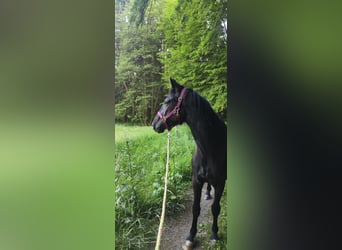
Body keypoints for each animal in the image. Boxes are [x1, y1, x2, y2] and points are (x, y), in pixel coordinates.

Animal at [151, 77, 226, 248]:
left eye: (167, 101)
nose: (154, 124)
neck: (211, 147)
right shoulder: (196, 181)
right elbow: (195, 208)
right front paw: (191, 236)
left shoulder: (221, 183)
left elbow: (215, 208)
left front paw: (214, 234)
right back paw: (207, 193)